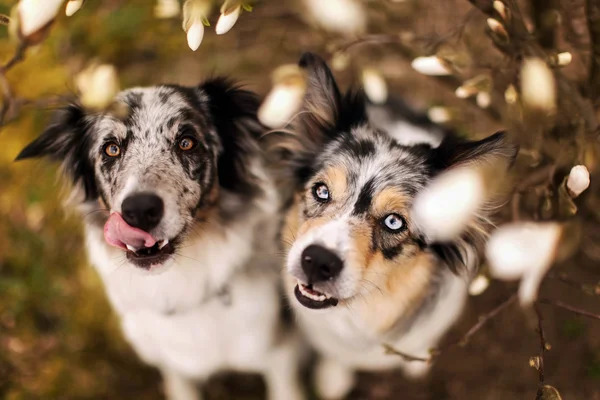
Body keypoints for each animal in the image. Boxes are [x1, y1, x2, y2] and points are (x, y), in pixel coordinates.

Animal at [16, 80, 308, 400]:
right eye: (112, 148)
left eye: (187, 143)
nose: (139, 211)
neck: (179, 281)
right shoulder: (171, 364)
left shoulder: (278, 353)